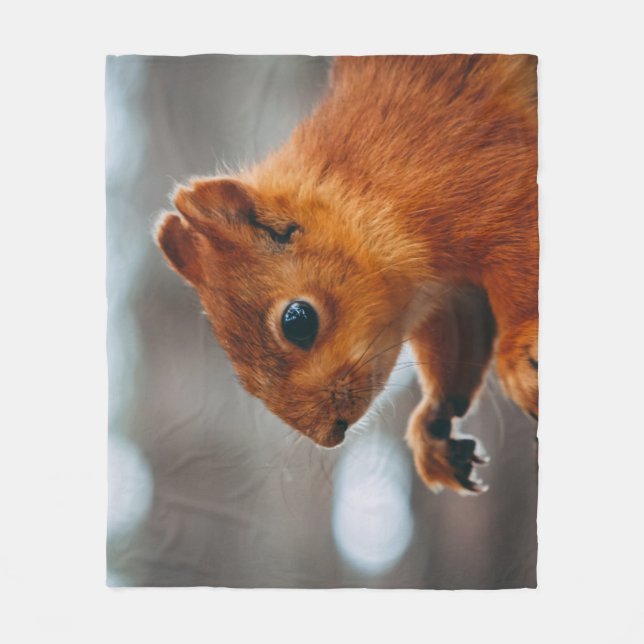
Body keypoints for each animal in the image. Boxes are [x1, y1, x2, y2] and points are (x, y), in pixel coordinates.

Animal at [156, 55, 538, 494]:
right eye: (243, 380)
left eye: (298, 320)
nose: (330, 433)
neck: (362, 189)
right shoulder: (448, 295)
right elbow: (459, 340)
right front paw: (433, 425)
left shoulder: (487, 169)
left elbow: (524, 252)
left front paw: (520, 351)